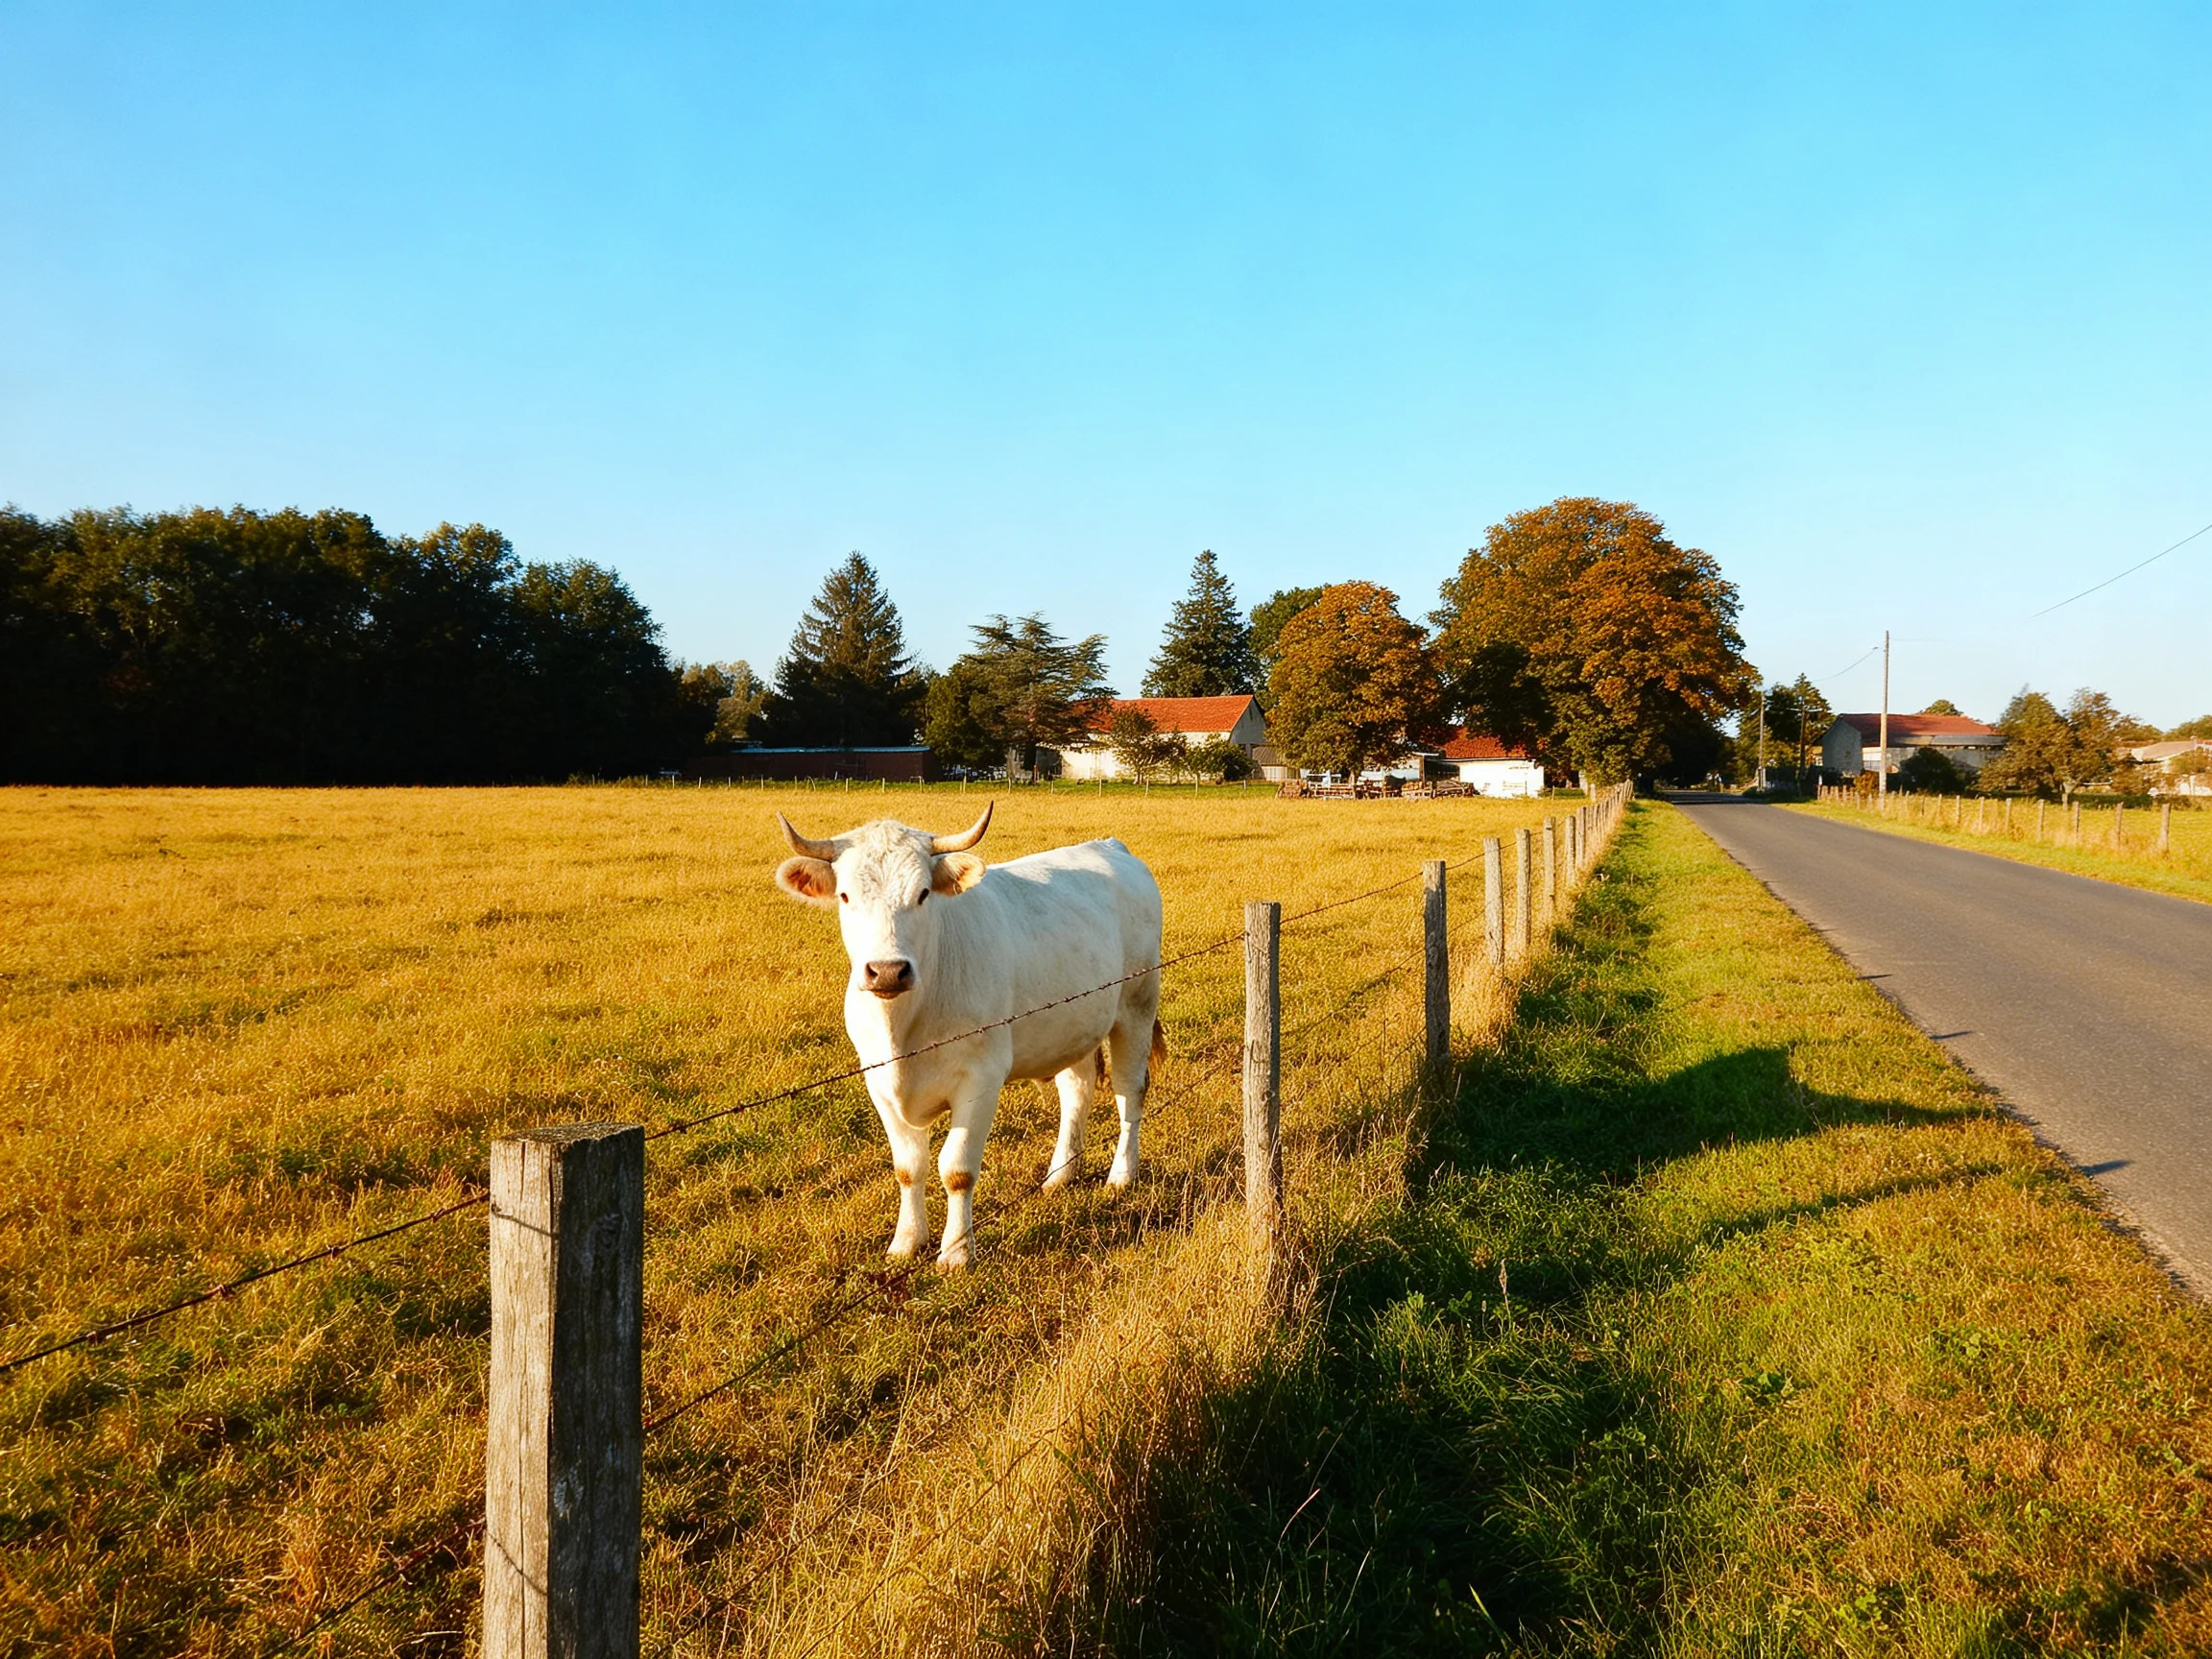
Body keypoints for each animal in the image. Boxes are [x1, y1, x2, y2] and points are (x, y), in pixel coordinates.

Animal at [772, 803, 1164, 1269]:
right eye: (846, 896)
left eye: (923, 893)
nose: (887, 970)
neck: (903, 1029)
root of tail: (1112, 846)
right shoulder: (877, 1081)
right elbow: (909, 1167)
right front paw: (906, 1241)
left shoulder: (981, 1079)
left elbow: (956, 1169)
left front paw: (957, 1251)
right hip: (1073, 1022)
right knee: (1077, 1089)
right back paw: (1061, 1173)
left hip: (1137, 1006)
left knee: (1128, 1091)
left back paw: (1122, 1174)